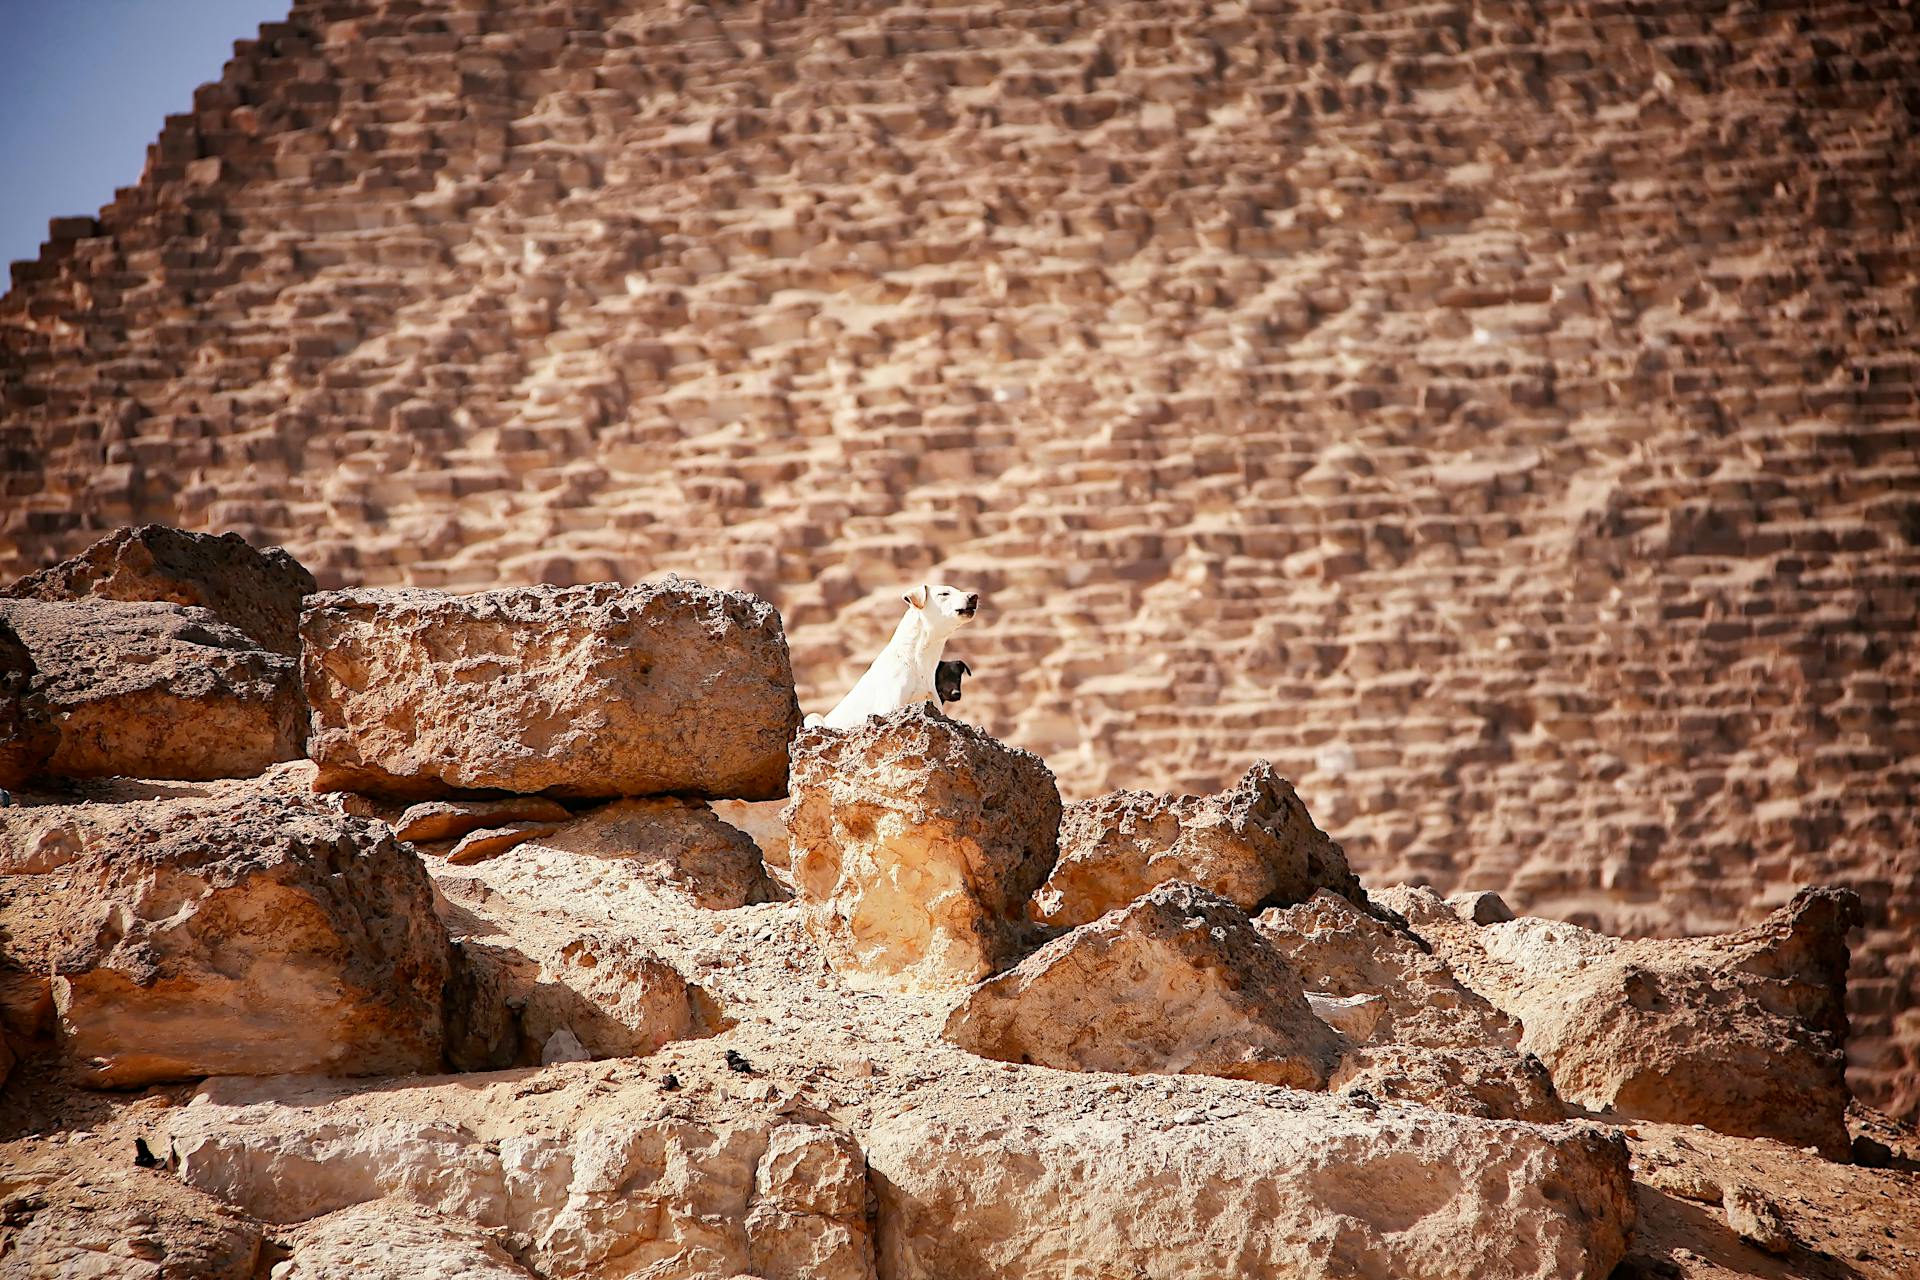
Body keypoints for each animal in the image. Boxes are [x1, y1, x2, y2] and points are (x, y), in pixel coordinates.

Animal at [810, 583, 983, 725]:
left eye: (959, 590)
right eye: (944, 593)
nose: (974, 596)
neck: (917, 661)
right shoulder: (891, 707)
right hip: (813, 718)